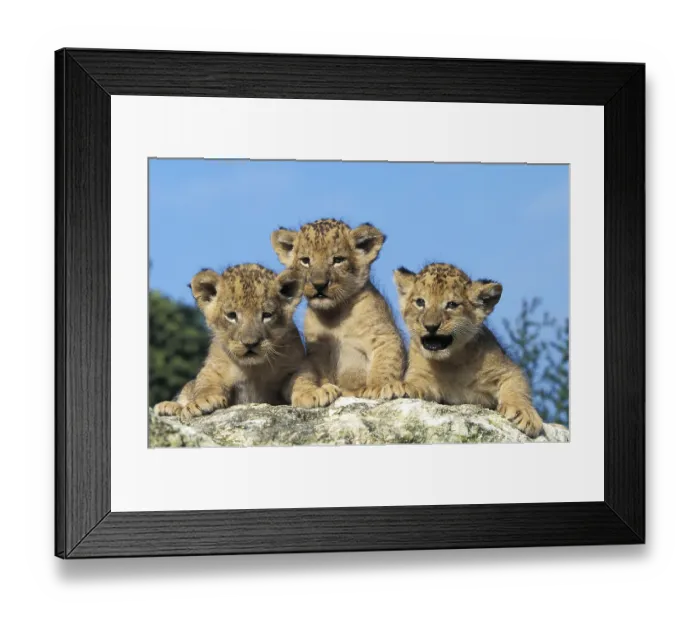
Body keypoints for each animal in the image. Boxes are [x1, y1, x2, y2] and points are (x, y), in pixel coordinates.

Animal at [153, 264, 305, 422]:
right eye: (231, 315)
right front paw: (202, 402)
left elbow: (302, 378)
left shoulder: (294, 366)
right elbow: (204, 383)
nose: (250, 343)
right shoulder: (213, 368)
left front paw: (309, 395)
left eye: (267, 315)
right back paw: (168, 407)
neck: (253, 369)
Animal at [271, 218, 405, 407]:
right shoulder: (315, 352)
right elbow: (306, 376)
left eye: (338, 260)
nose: (319, 285)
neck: (334, 313)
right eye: (305, 261)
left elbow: (387, 361)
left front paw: (381, 386)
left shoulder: (384, 335)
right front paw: (314, 393)